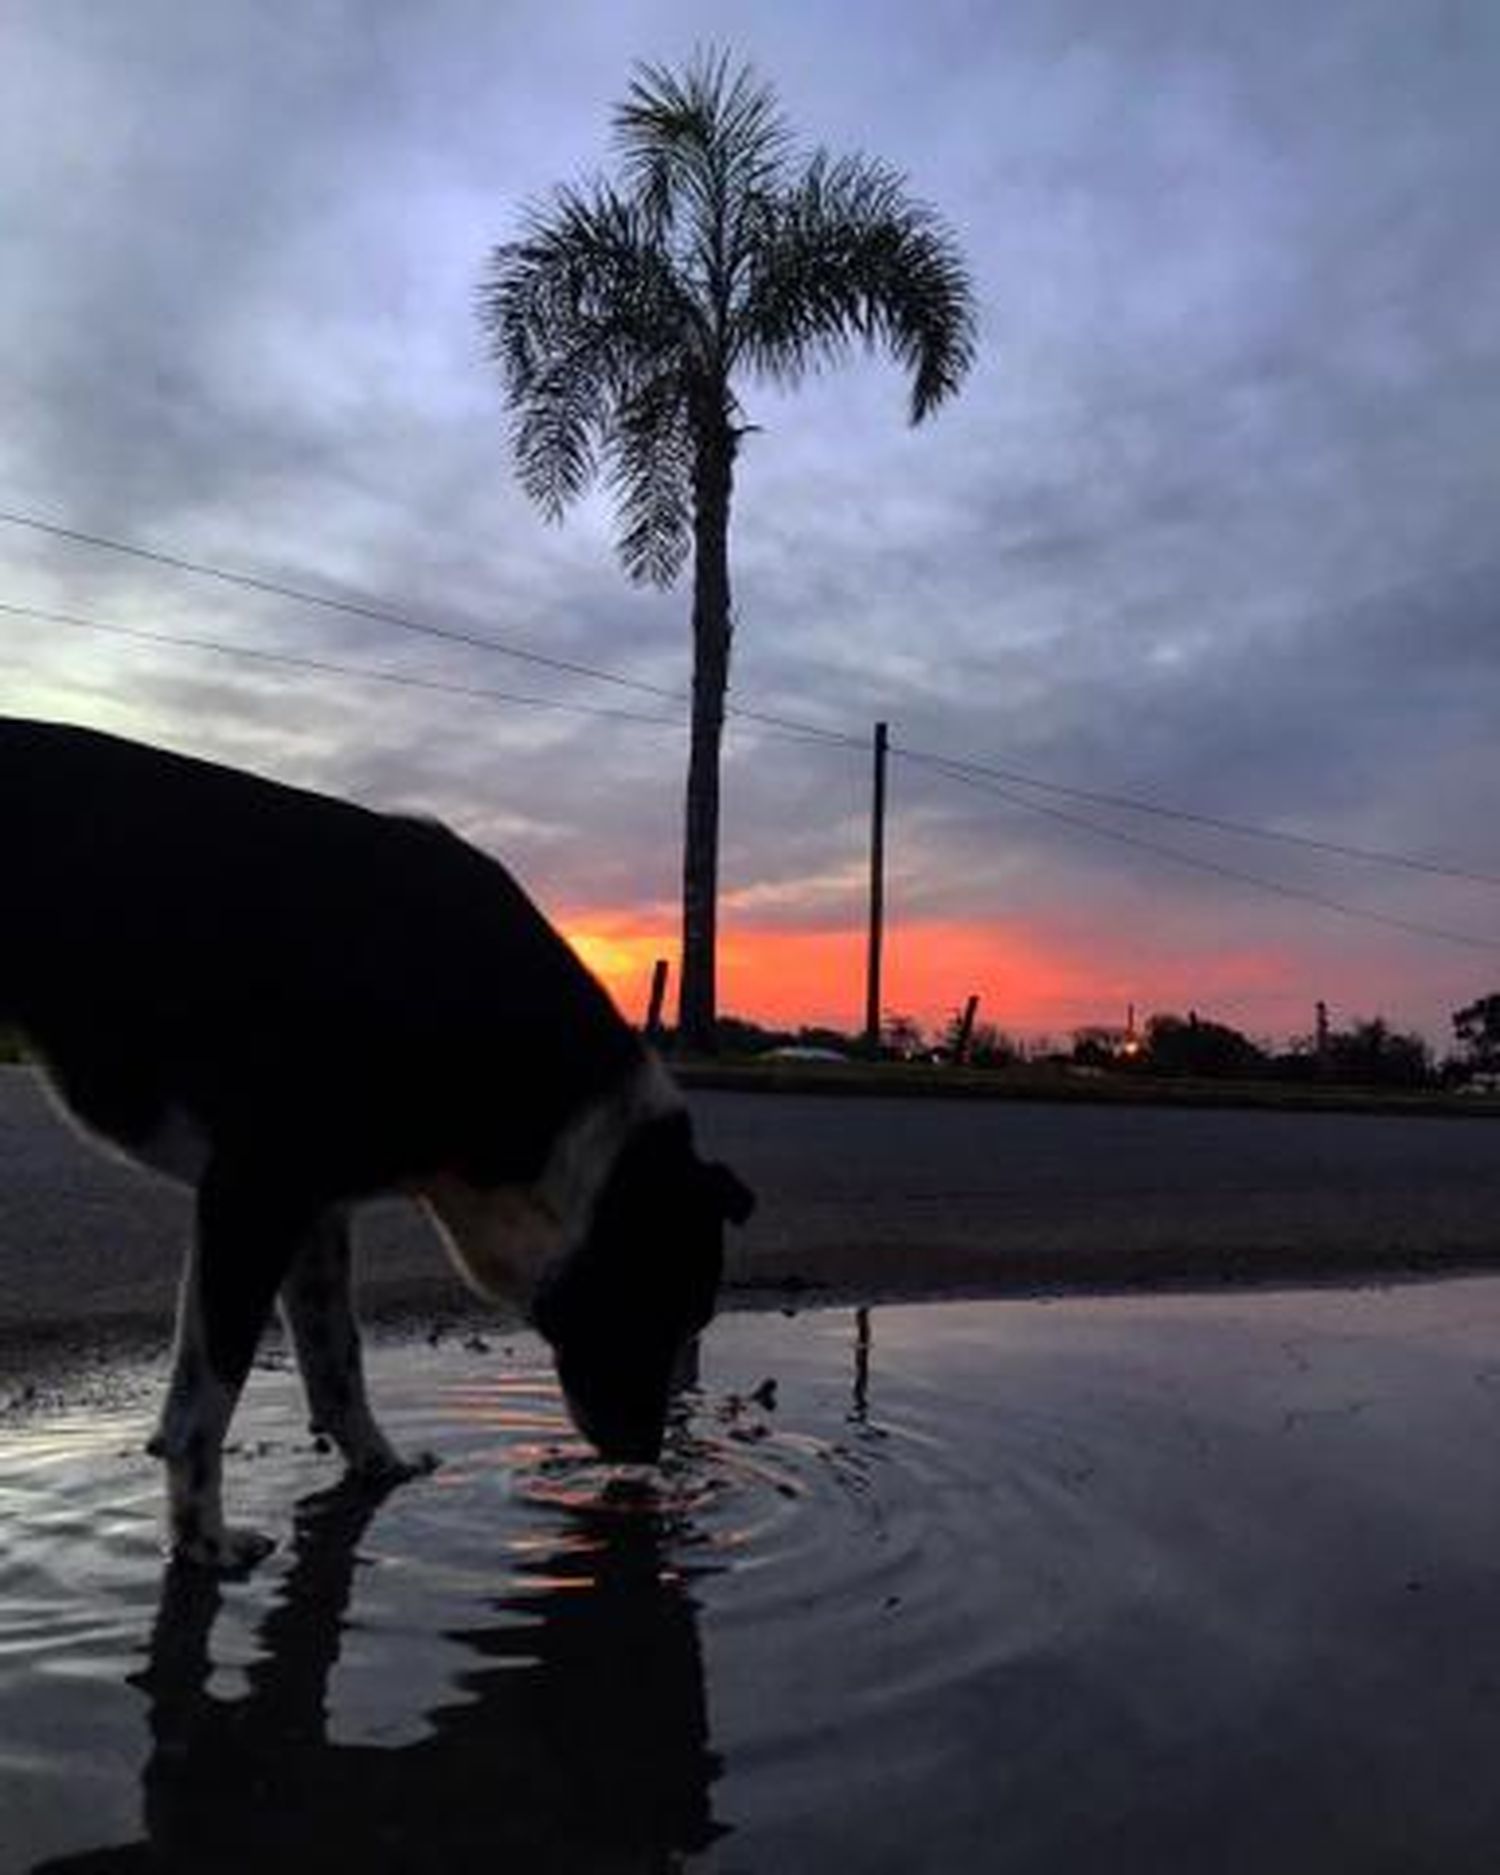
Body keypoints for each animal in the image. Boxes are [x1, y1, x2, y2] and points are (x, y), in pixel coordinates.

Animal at [0, 716, 750, 1567]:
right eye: (657, 1310)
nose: (644, 1463)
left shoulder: (313, 1208)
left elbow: (336, 1361)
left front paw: (378, 1466)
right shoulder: (253, 1193)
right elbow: (205, 1401)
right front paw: (204, 1541)